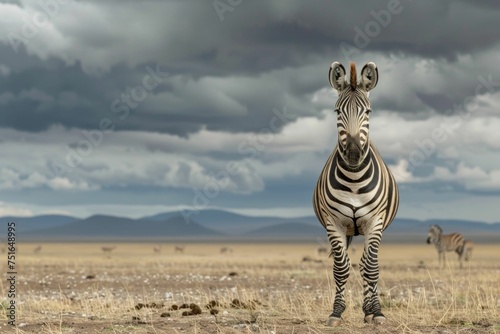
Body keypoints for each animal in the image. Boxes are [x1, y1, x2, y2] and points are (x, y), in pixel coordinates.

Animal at [312, 61, 398, 324]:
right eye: (337, 112)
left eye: (368, 112)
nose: (352, 154)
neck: (353, 180)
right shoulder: (334, 222)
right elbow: (341, 269)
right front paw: (336, 312)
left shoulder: (375, 221)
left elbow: (371, 268)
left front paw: (376, 312)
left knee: (369, 264)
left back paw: (369, 310)